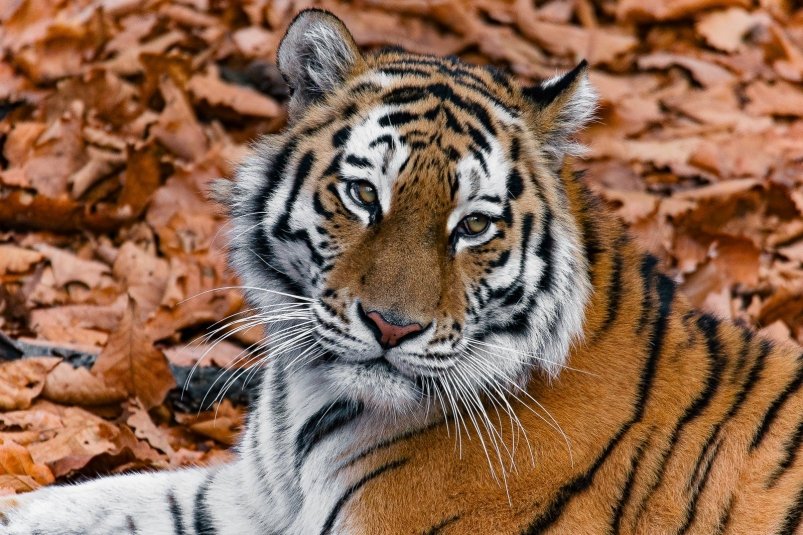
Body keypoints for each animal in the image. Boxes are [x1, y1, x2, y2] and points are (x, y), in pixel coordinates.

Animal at [1, 8, 803, 535]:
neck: (308, 405)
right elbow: (81, 501)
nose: (391, 326)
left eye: (472, 225)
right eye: (364, 195)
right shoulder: (242, 502)